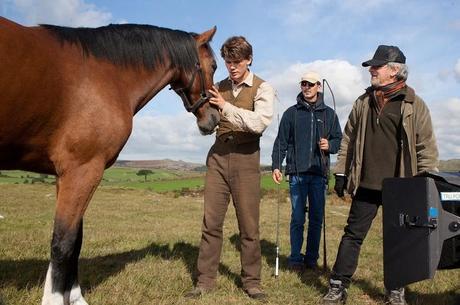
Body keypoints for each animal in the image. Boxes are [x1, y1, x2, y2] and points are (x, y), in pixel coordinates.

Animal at [0, 17, 219, 304]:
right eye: (214, 66)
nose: (214, 118)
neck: (104, 75)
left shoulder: (68, 175)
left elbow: (75, 241)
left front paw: (75, 296)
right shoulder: (82, 170)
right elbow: (63, 243)